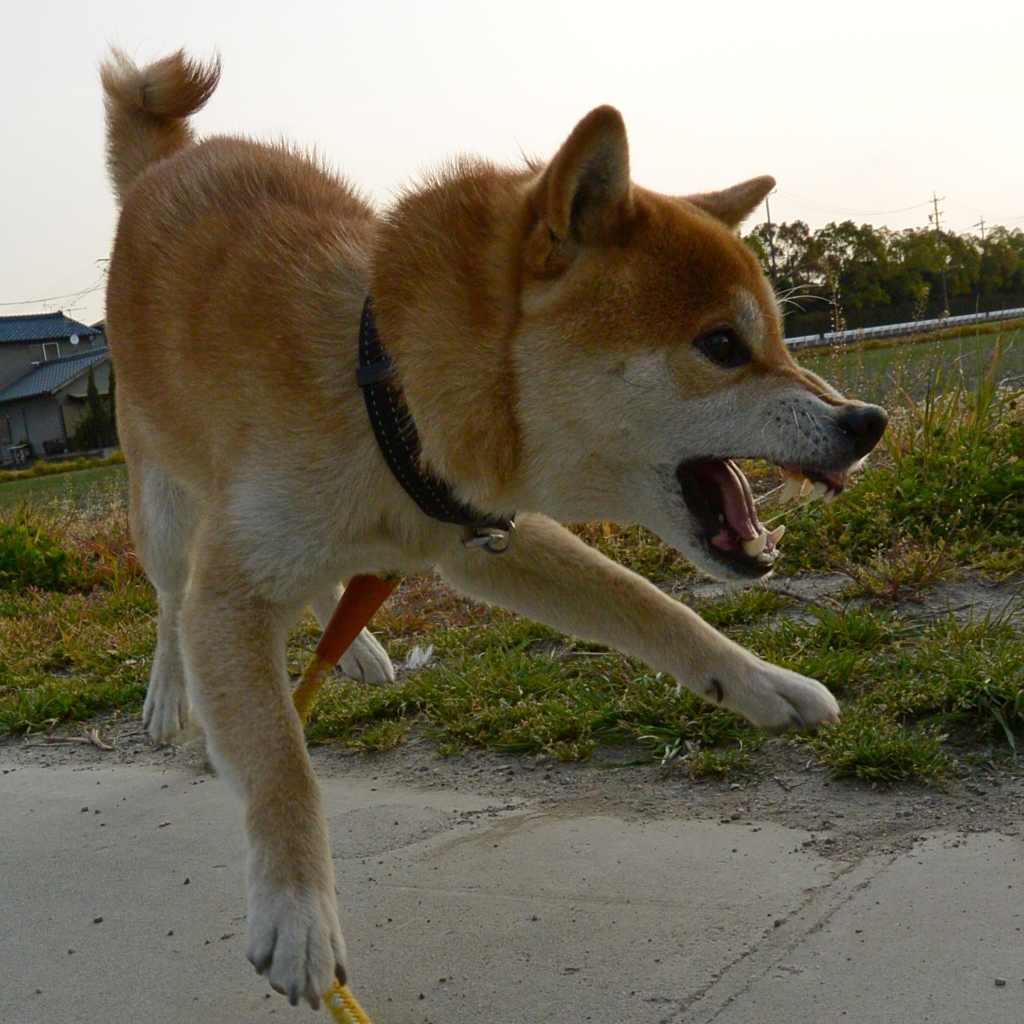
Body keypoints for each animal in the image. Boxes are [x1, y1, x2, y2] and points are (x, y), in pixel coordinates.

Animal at [101, 49, 888, 1007]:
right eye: (722, 346)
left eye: (774, 337)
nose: (867, 421)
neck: (384, 390)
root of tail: (166, 167)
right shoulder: (233, 584)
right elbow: (282, 764)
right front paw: (295, 912)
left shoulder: (486, 539)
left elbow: (655, 609)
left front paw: (762, 682)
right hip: (167, 503)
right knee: (167, 601)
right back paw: (171, 692)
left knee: (322, 585)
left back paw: (355, 648)